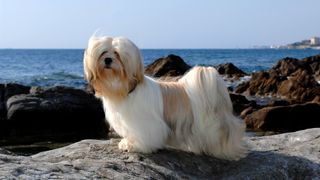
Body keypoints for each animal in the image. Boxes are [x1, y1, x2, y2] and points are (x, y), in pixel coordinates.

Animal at [83, 35, 248, 160]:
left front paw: (136, 146)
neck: (122, 88)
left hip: (211, 125)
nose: (108, 60)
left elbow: (145, 135)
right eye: (103, 52)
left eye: (117, 54)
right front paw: (127, 143)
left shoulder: (145, 123)